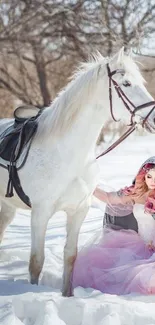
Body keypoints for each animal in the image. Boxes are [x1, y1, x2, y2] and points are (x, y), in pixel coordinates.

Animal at [0, 46, 155, 294]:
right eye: (127, 83)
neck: (67, 155)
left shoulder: (78, 210)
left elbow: (71, 257)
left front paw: (67, 295)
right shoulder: (40, 213)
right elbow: (36, 261)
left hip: (7, 207)